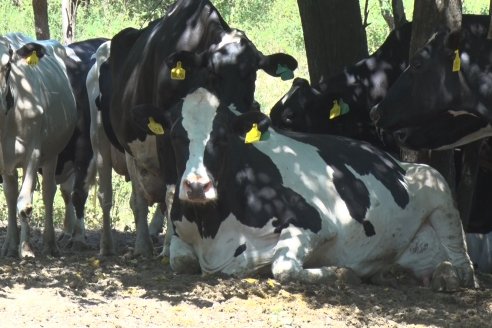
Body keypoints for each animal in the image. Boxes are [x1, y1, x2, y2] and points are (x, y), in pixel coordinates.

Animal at [0, 34, 78, 258]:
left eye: (7, 65)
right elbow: (11, 198)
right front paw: (11, 245)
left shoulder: (33, 153)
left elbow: (25, 204)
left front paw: (26, 249)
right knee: (13, 194)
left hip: (52, 153)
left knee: (48, 192)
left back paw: (50, 243)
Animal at [132, 86, 476, 290]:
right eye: (176, 136)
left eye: (222, 137)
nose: (196, 186)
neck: (212, 225)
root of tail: (395, 160)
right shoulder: (180, 234)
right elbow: (181, 261)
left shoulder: (317, 223)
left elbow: (282, 267)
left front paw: (343, 272)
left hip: (438, 186)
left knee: (464, 261)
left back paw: (450, 275)